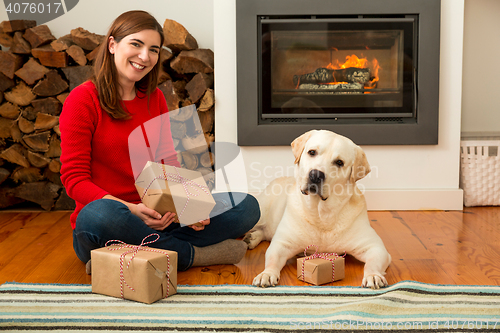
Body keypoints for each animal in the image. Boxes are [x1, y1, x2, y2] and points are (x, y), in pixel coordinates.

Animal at [244, 129, 392, 288]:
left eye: (339, 162)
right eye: (312, 152)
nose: (315, 175)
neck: (322, 214)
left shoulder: (375, 247)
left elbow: (372, 263)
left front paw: (373, 275)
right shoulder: (281, 244)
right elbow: (272, 259)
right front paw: (266, 274)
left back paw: (253, 238)